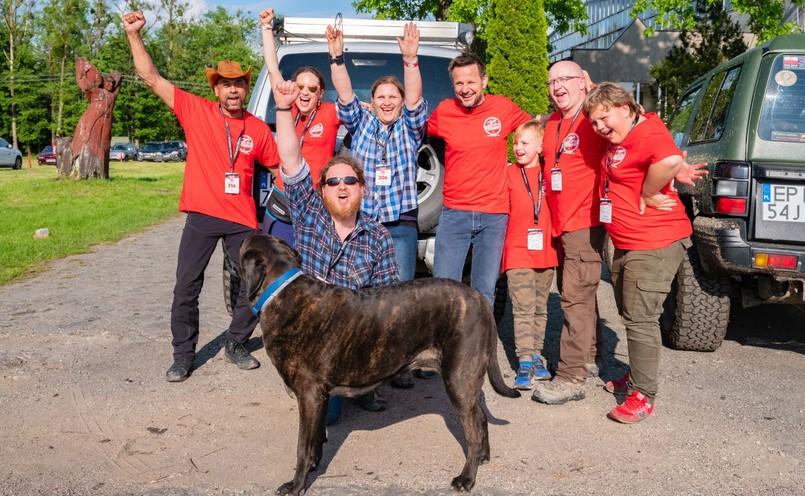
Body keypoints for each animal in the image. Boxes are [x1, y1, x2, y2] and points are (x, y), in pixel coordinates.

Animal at [237, 234, 520, 494]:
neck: (280, 291)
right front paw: (314, 466)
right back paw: (483, 456)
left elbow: (302, 446)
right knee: (480, 417)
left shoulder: (308, 395)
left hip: (458, 379)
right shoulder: (319, 398)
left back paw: (467, 477)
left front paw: (297, 484)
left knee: (472, 427)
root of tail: (478, 297)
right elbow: (316, 439)